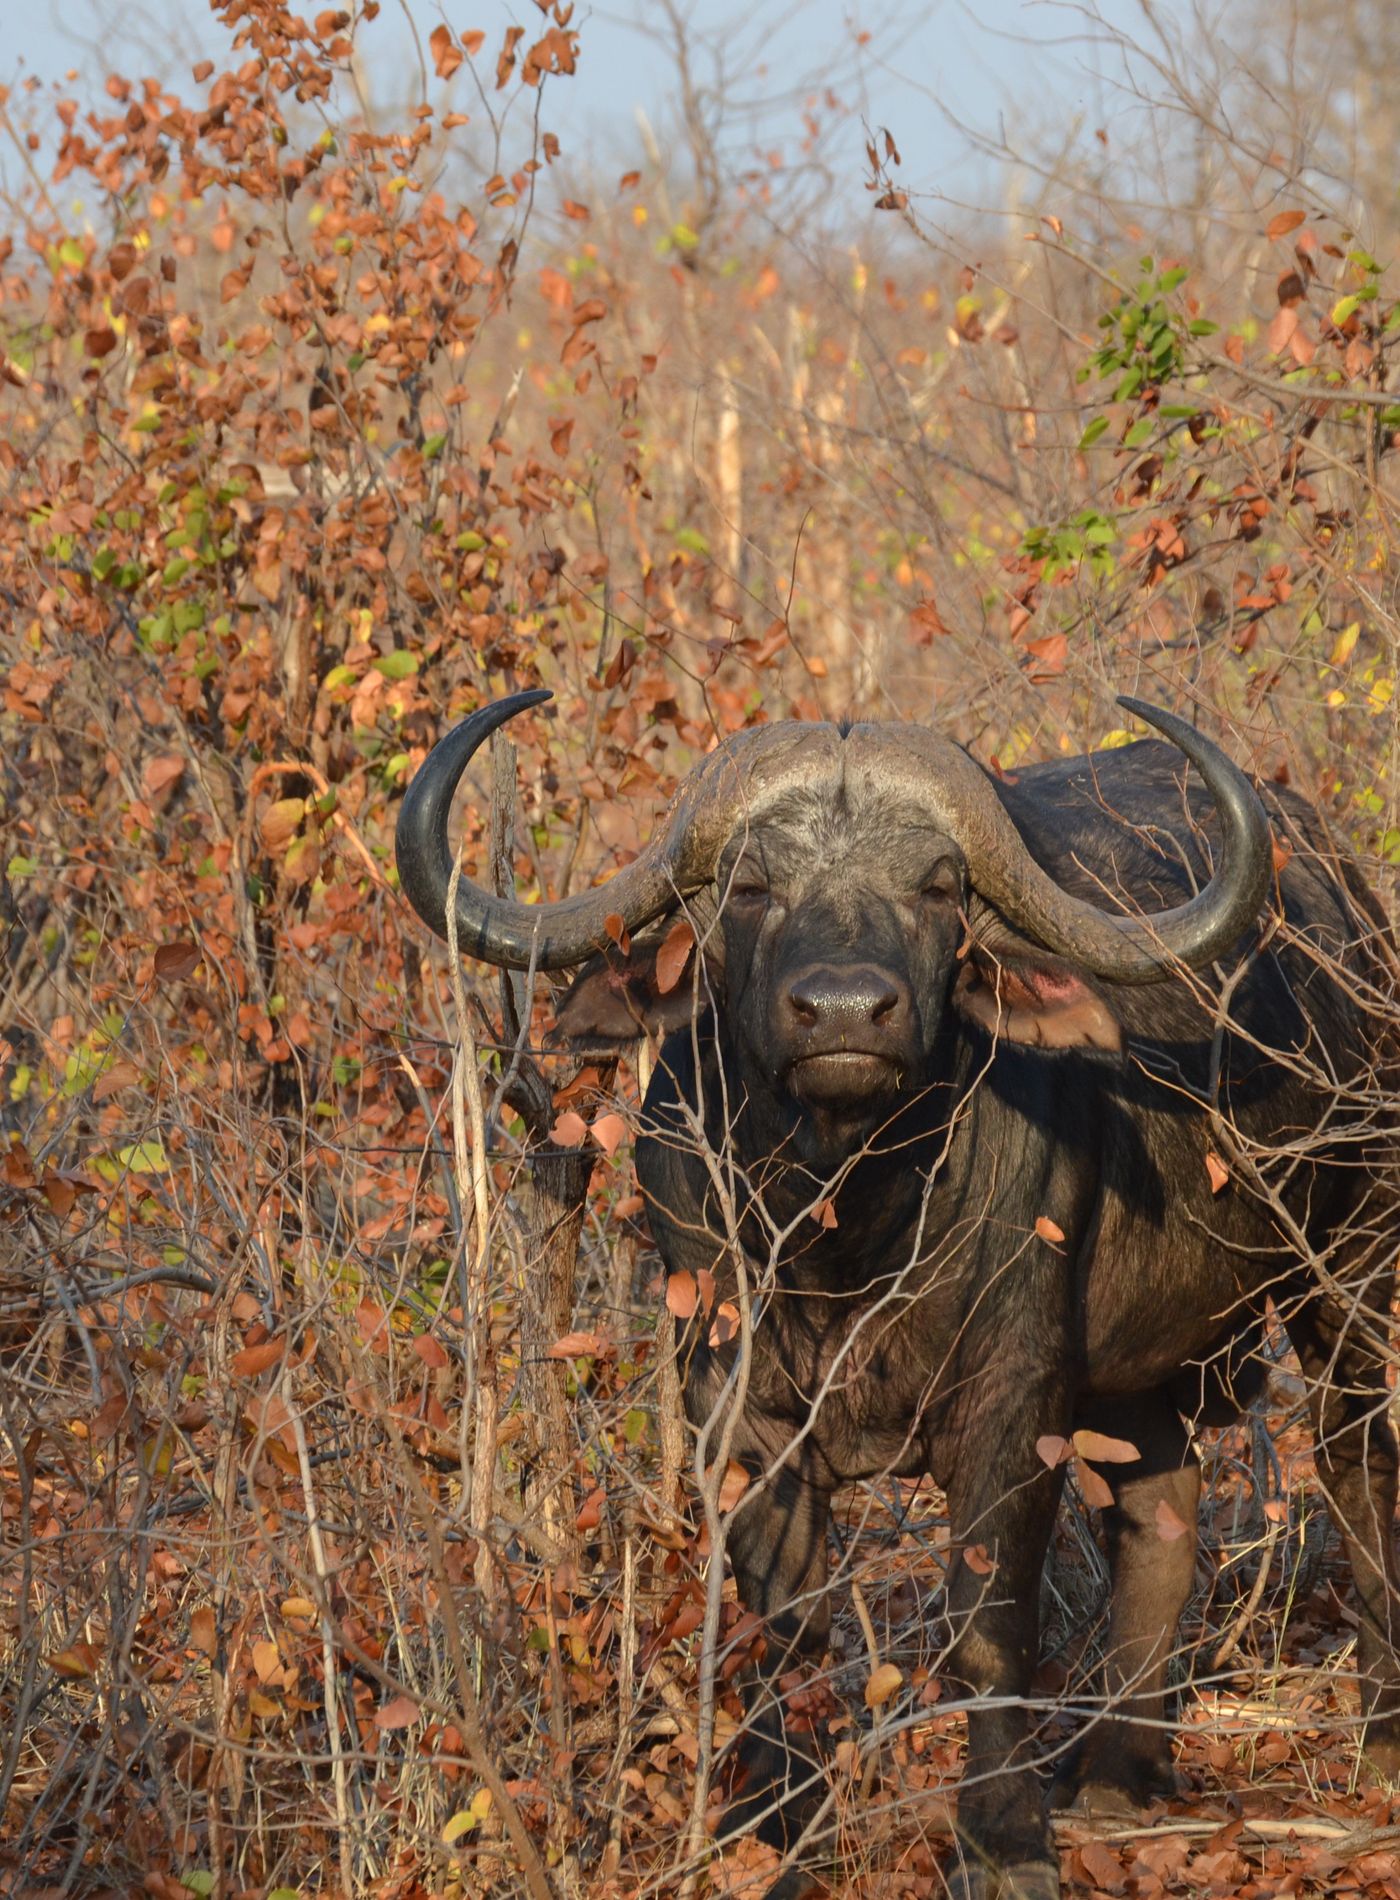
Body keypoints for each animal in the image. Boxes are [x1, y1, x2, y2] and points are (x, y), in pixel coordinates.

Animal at [396, 689, 1400, 1900]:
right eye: (749, 885)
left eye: (934, 887)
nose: (842, 1011)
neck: (846, 1232)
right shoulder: (733, 1405)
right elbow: (784, 1621)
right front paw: (775, 1827)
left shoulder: (1013, 1394)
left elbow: (988, 1626)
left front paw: (1001, 1841)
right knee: (1164, 1502)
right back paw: (1118, 1769)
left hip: (1350, 1262)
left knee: (1357, 1458)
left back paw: (1379, 1731)